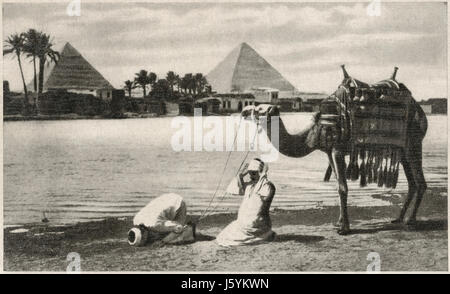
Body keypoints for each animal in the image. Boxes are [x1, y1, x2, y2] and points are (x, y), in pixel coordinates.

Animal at [243, 66, 428, 234]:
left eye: (260, 109)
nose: (244, 111)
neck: (314, 130)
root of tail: (420, 112)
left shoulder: (337, 149)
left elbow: (342, 187)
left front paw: (344, 228)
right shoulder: (328, 152)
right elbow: (339, 183)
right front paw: (338, 222)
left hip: (413, 142)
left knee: (420, 182)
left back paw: (411, 221)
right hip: (403, 150)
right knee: (412, 183)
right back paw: (398, 218)